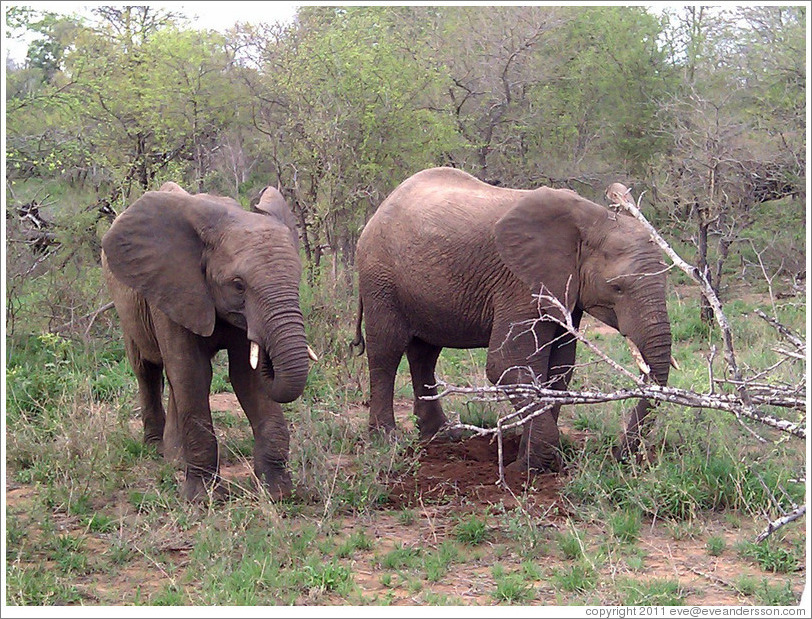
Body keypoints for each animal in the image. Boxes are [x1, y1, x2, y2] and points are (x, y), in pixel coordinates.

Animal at [102, 182, 313, 501]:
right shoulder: (174, 290)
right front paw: (203, 499)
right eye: (238, 285)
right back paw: (156, 450)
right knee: (147, 369)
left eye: (298, 277)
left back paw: (175, 458)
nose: (267, 355)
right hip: (128, 304)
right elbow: (192, 372)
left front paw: (278, 493)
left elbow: (245, 377)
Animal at [352, 167, 673, 472]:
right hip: (379, 277)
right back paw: (388, 440)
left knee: (424, 354)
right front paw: (533, 466)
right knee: (386, 352)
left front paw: (532, 460)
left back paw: (442, 436)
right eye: (617, 288)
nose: (619, 455)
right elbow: (506, 363)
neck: (592, 218)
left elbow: (559, 368)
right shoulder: (519, 283)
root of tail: (381, 207)